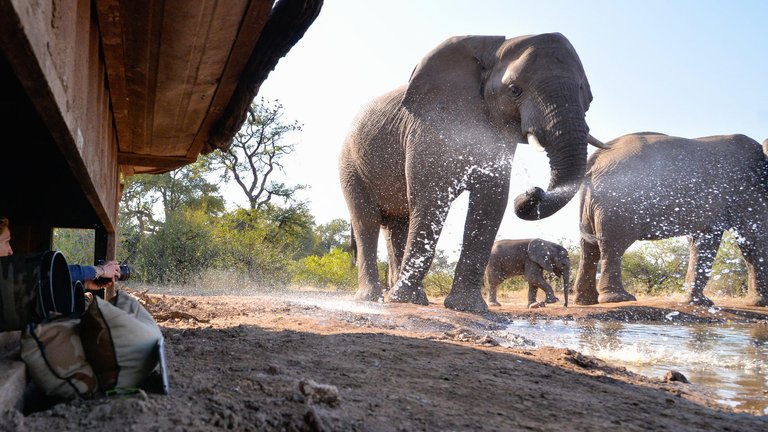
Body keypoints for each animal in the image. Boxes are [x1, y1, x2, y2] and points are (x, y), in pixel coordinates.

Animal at [340, 32, 604, 312]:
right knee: (366, 222)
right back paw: (373, 298)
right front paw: (406, 300)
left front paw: (466, 307)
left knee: (398, 225)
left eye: (584, 94)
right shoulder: (430, 128)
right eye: (515, 90)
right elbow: (430, 199)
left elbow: (491, 201)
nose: (534, 191)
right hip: (350, 164)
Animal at [576, 132, 768, 308]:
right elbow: (754, 240)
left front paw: (697, 303)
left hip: (593, 205)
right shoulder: (748, 189)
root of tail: (595, 160)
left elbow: (704, 240)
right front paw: (759, 303)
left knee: (590, 249)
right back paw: (619, 298)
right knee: (613, 246)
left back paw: (586, 301)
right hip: (617, 202)